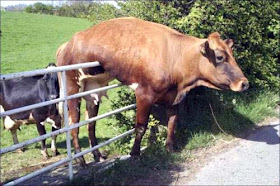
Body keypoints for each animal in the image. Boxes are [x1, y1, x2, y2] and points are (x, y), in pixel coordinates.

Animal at [56, 16, 247, 166]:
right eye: (220, 57)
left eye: (232, 54)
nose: (244, 83)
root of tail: (67, 44)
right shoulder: (144, 95)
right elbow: (141, 127)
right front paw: (135, 154)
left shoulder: (173, 97)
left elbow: (172, 122)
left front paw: (170, 149)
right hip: (72, 88)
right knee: (73, 125)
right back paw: (80, 161)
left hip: (93, 90)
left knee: (91, 124)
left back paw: (97, 155)